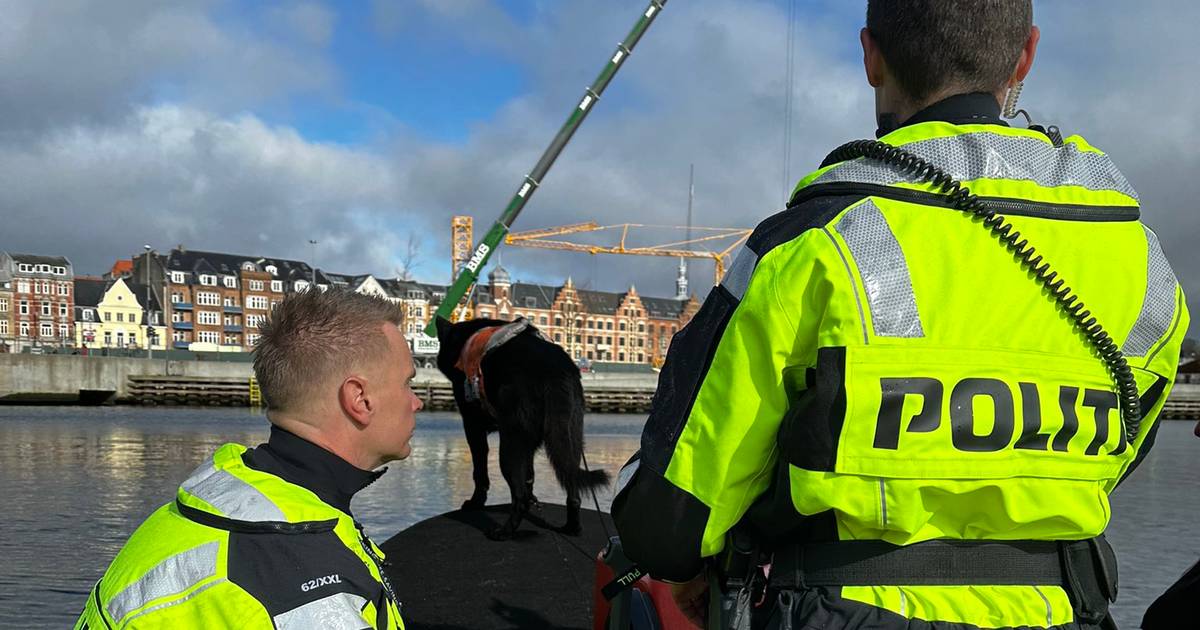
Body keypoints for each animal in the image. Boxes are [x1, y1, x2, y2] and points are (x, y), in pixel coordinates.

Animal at [434, 316, 609, 537]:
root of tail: (555, 372)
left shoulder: (473, 428)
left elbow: (480, 473)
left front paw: (475, 503)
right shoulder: (530, 444)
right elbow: (530, 475)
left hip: (511, 444)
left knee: (519, 497)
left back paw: (503, 532)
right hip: (570, 439)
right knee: (573, 491)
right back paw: (571, 528)